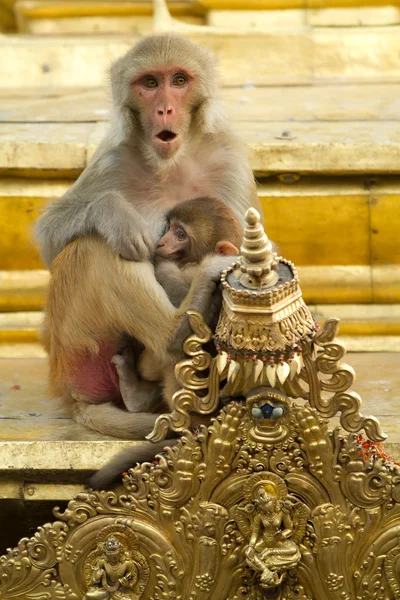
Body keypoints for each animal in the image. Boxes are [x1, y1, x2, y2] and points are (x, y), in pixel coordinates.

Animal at [36, 31, 262, 436]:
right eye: (151, 84)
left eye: (179, 81)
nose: (165, 110)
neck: (171, 163)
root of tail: (71, 395)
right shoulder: (113, 158)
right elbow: (51, 240)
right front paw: (116, 215)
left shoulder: (231, 160)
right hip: (76, 347)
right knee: (95, 247)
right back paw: (173, 334)